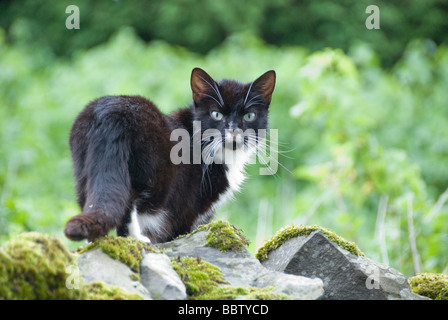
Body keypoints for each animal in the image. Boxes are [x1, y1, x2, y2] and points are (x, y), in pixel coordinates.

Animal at [62, 67, 272, 242]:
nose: (234, 131)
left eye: (249, 116)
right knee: (128, 199)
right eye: (216, 114)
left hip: (83, 165)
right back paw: (136, 239)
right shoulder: (189, 204)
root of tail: (111, 115)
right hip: (147, 171)